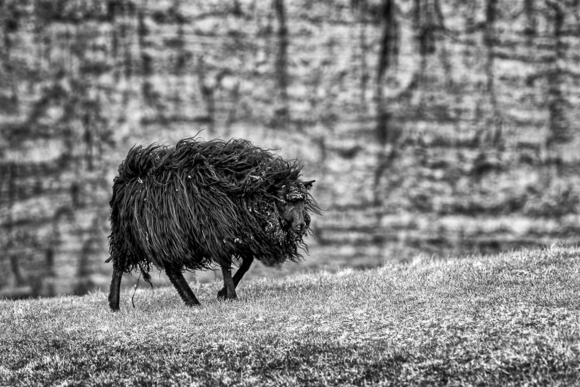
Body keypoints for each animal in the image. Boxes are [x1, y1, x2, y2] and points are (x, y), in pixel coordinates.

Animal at [106, 138, 320, 310]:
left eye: (302, 201)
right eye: (283, 200)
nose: (301, 225)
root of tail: (127, 176)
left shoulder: (241, 234)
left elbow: (247, 262)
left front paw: (223, 293)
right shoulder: (218, 234)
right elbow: (226, 265)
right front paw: (231, 295)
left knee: (170, 269)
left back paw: (190, 301)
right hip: (138, 234)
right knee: (120, 266)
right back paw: (115, 304)